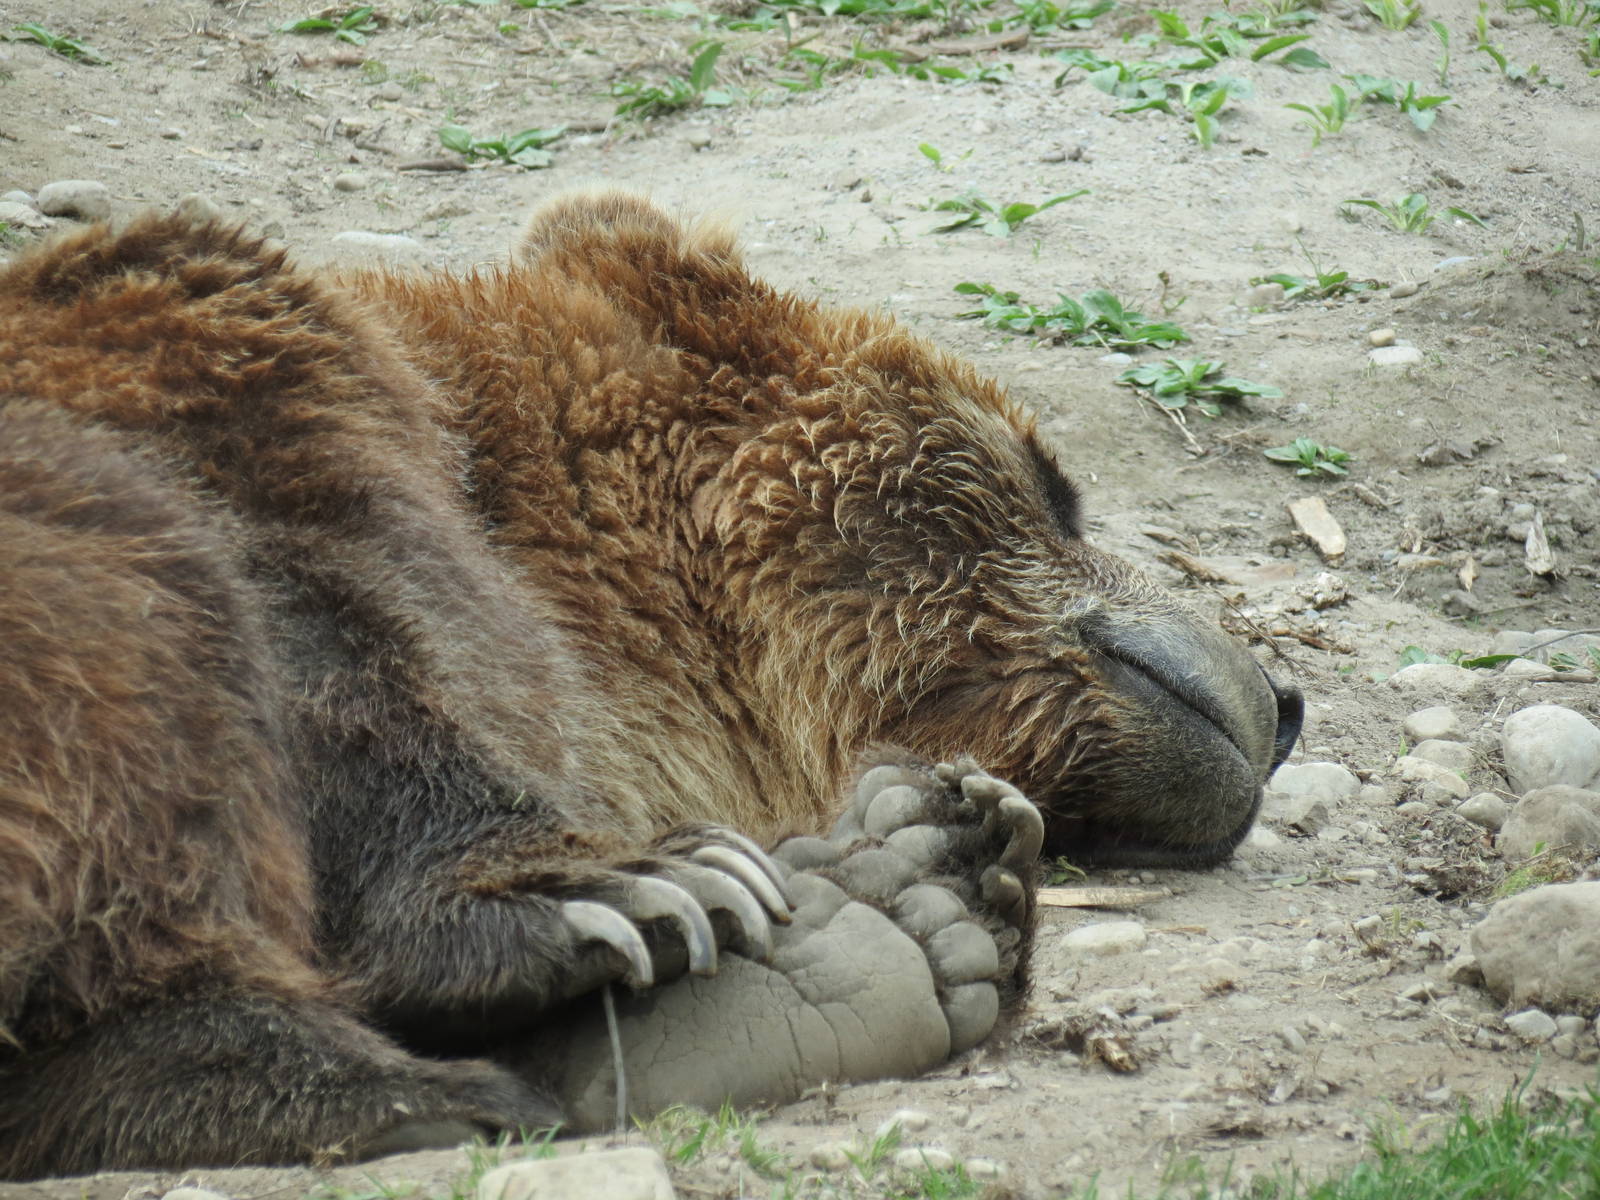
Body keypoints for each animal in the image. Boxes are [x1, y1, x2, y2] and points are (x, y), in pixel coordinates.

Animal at [0, 192, 1301, 1179]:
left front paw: (934, 855)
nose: (1284, 702)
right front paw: (605, 885)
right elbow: (313, 588)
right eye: (1054, 482)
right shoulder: (201, 367)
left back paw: (881, 923)